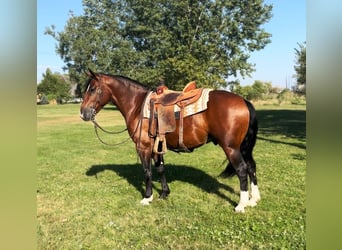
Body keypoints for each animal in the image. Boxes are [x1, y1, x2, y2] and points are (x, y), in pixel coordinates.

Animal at [80, 69, 260, 212]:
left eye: (93, 89)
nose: (83, 113)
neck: (137, 106)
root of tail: (243, 101)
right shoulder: (157, 146)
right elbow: (160, 169)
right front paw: (165, 193)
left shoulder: (143, 147)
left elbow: (147, 171)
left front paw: (147, 197)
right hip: (243, 148)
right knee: (251, 167)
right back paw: (254, 200)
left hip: (231, 148)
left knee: (242, 170)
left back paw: (241, 205)